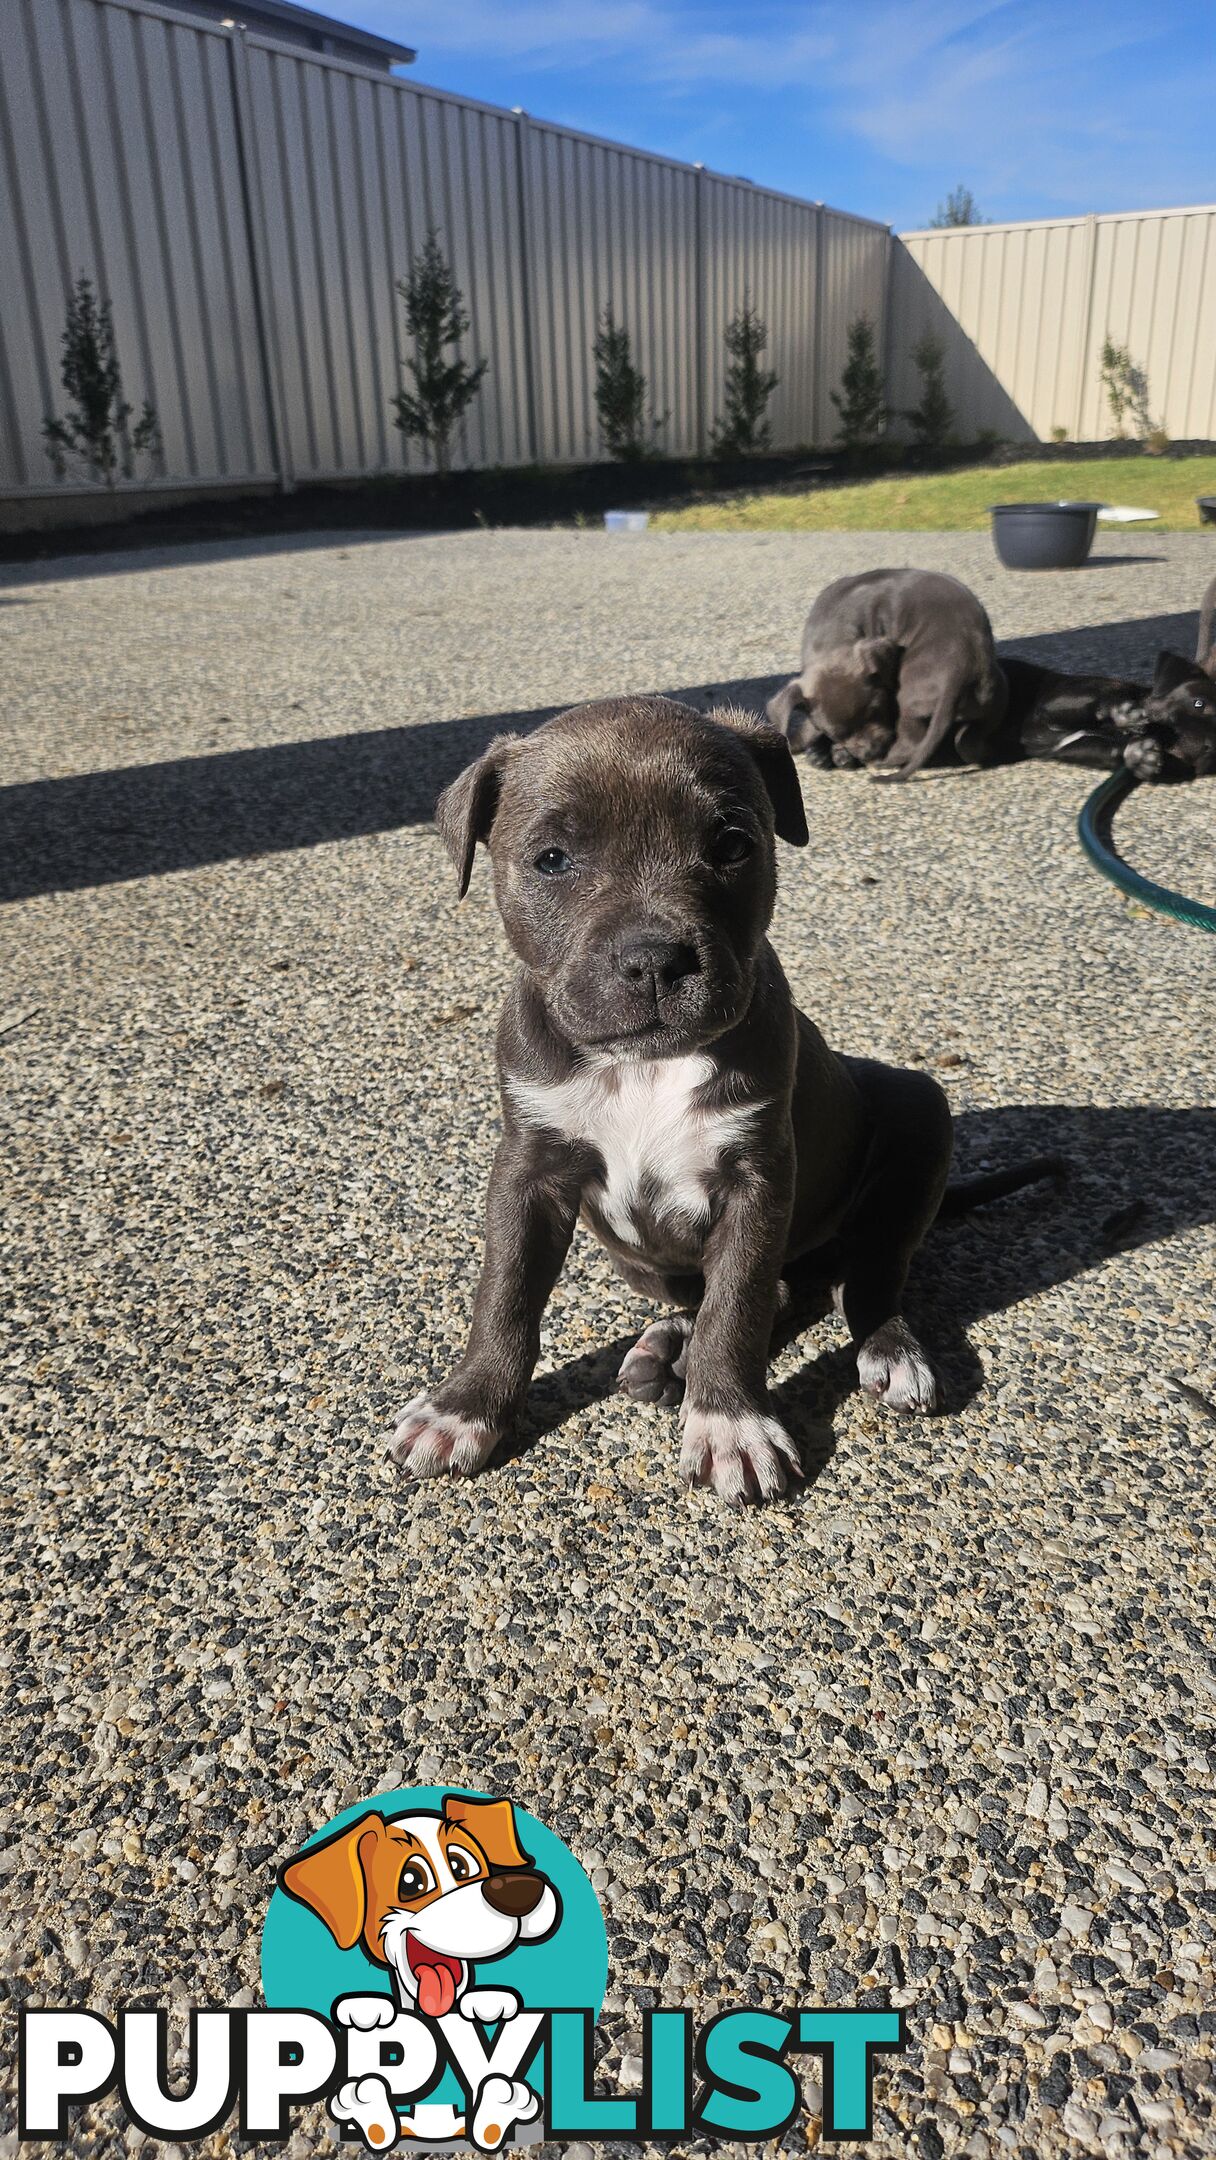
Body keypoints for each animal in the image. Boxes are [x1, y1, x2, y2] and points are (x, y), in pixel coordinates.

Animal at [768, 570, 1010, 781]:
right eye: (837, 733)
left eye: (876, 710)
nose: (871, 752)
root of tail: (958, 675)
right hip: (990, 704)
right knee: (969, 738)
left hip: (908, 701)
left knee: (912, 743)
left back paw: (880, 761)